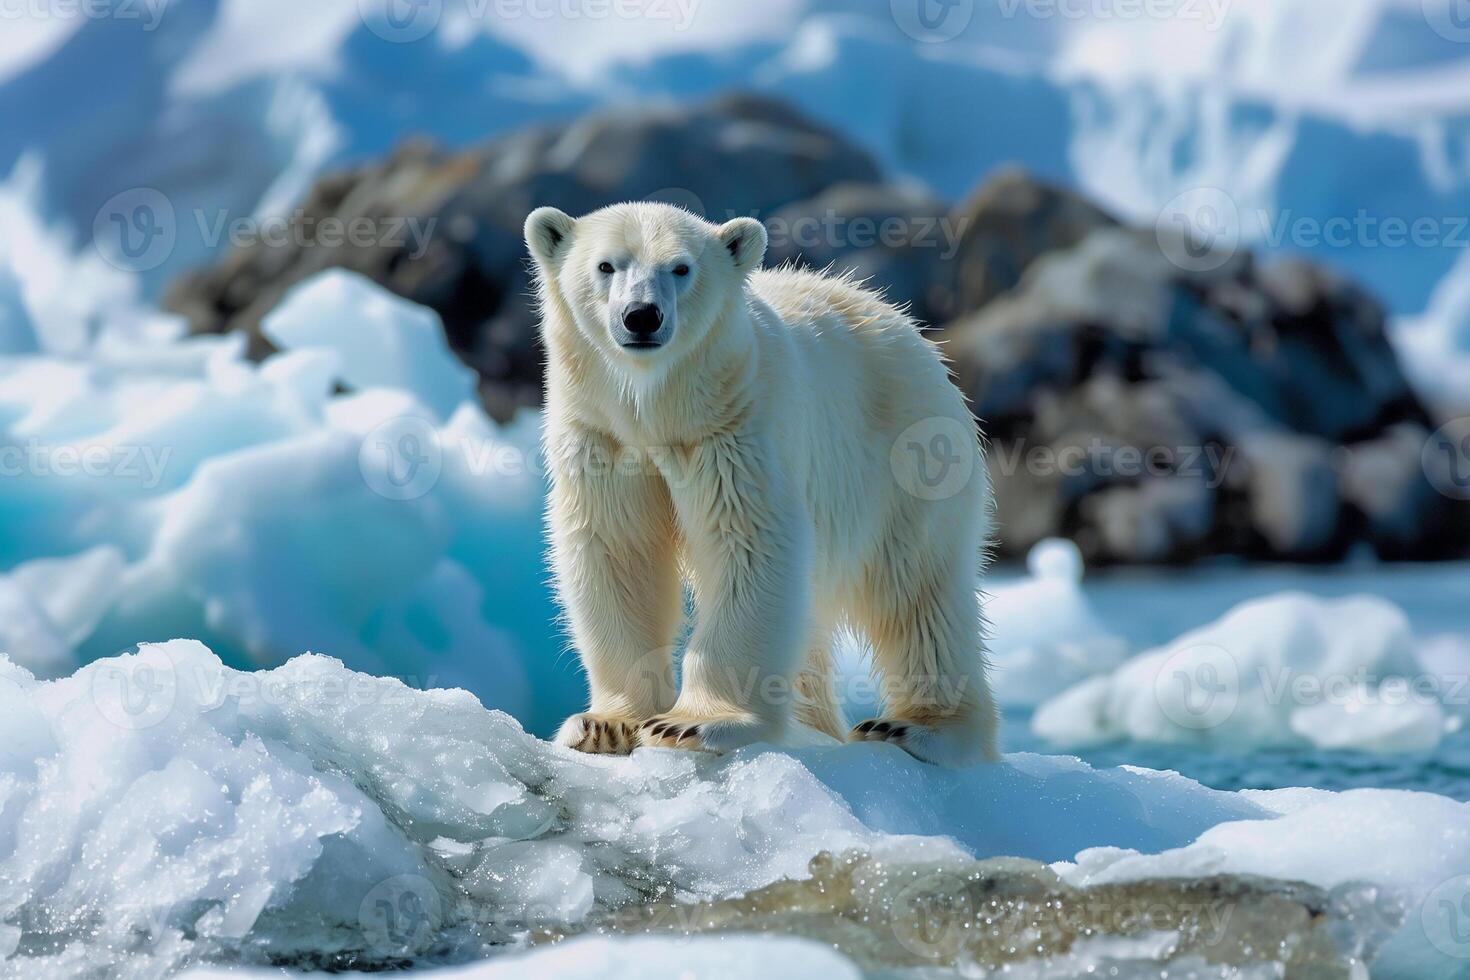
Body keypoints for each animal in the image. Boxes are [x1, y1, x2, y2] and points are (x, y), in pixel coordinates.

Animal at [526, 201, 999, 764]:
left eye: (681, 268)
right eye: (606, 265)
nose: (642, 315)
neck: (659, 407)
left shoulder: (733, 430)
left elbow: (747, 543)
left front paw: (693, 723)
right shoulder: (604, 437)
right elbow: (617, 549)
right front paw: (607, 724)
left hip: (908, 460)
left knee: (918, 591)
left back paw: (915, 727)